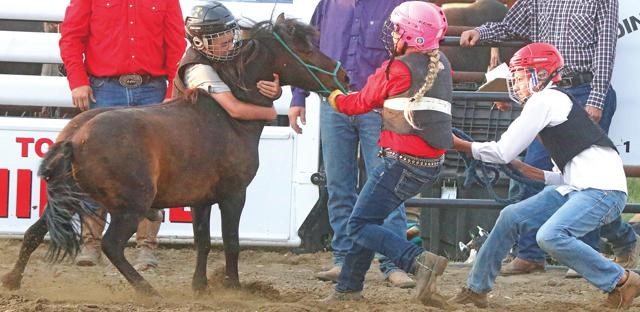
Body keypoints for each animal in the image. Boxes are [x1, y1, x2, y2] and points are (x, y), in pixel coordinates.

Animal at [1, 14, 350, 294]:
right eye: (305, 49)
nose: (344, 76)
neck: (229, 117)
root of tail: (74, 137)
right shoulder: (233, 195)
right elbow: (231, 241)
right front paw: (234, 287)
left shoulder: (201, 200)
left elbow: (203, 240)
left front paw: (200, 286)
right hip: (130, 205)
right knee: (112, 245)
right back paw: (147, 290)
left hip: (69, 198)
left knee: (34, 232)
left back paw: (13, 280)